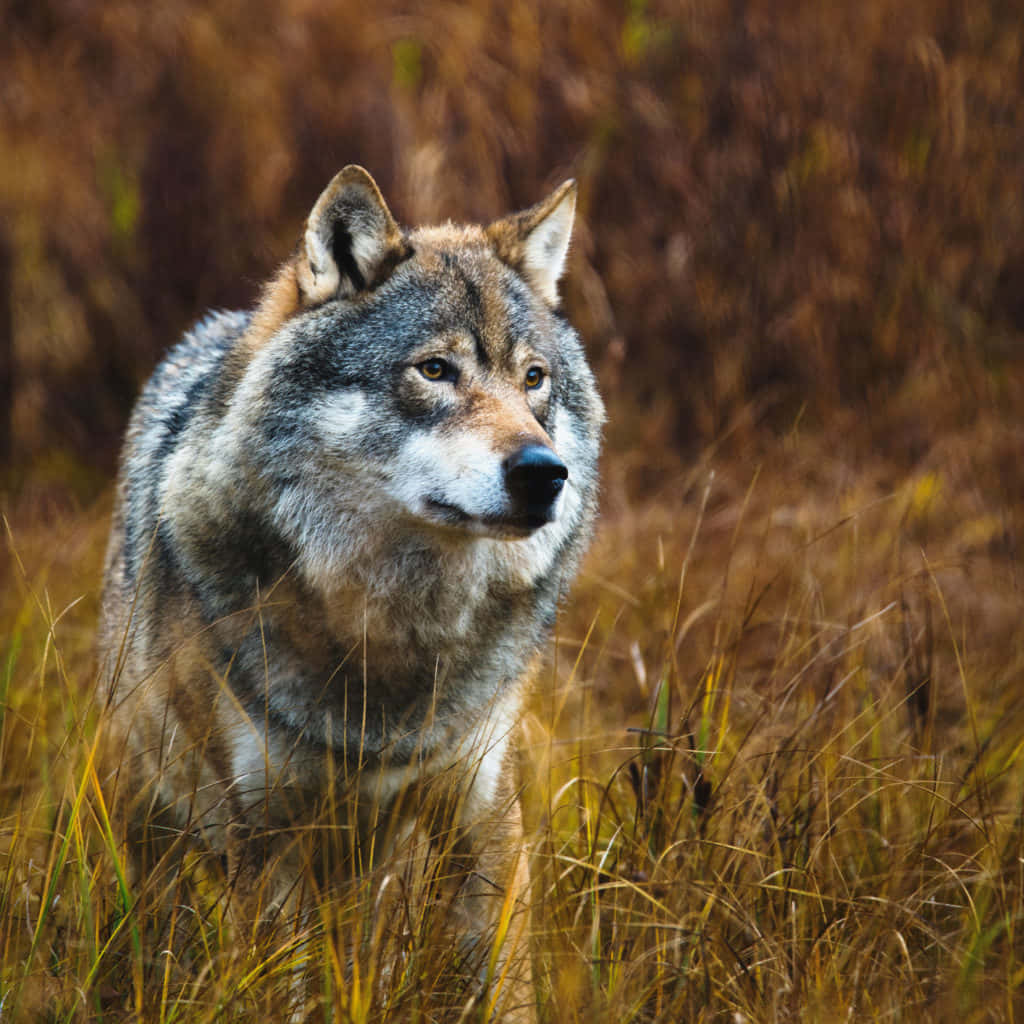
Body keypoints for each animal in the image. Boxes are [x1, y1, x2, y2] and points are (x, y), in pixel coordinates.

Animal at [99, 165, 602, 1015]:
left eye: (534, 380)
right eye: (435, 371)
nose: (544, 473)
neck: (393, 630)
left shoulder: (483, 814)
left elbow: (506, 989)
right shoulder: (266, 844)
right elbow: (281, 993)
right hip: (154, 823)